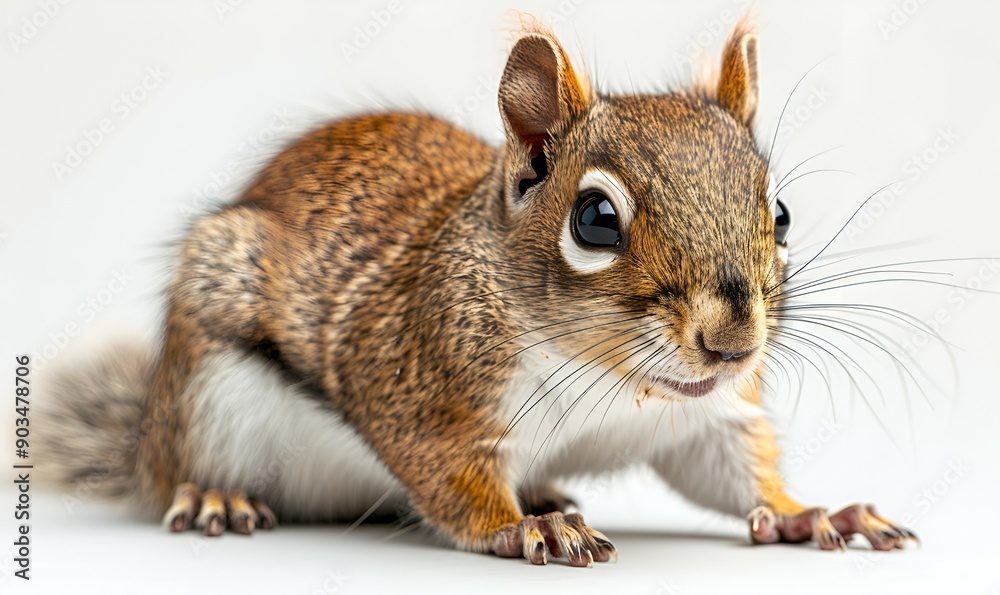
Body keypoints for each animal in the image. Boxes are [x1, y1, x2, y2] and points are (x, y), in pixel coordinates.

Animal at [36, 16, 918, 567]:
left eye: (781, 213)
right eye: (596, 219)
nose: (731, 342)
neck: (608, 379)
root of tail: (148, 436)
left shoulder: (707, 418)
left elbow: (732, 474)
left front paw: (813, 512)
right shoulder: (419, 385)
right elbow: (448, 476)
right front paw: (522, 532)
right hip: (210, 391)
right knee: (191, 467)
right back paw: (215, 495)